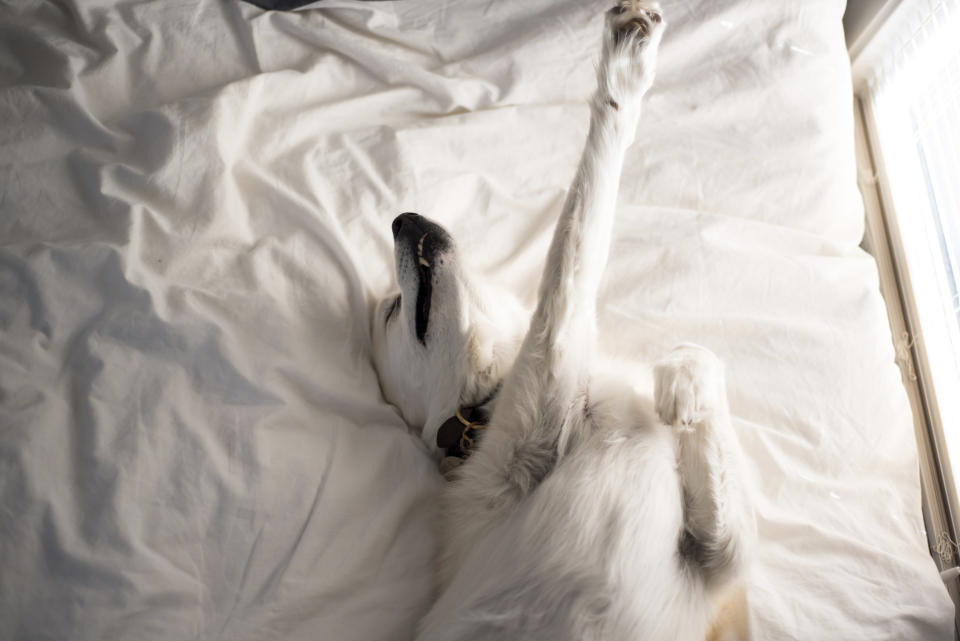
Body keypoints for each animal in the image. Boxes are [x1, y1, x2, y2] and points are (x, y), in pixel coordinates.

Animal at [372, 2, 752, 636]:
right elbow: (582, 223)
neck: (484, 404)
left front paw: (681, 381)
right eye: (393, 311)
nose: (401, 219)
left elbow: (704, 360)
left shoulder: (719, 558)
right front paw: (624, 68)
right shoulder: (545, 385)